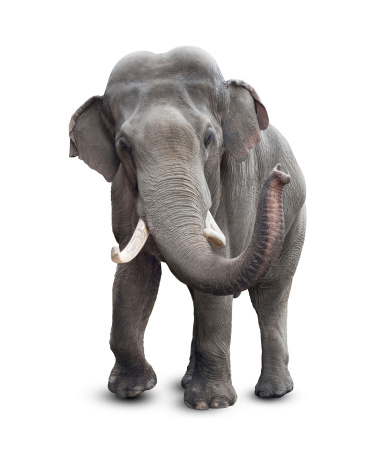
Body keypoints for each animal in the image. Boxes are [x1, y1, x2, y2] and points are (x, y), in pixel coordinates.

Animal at [69, 46, 306, 410]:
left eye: (209, 138)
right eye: (123, 146)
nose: (279, 175)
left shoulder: (234, 190)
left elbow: (215, 274)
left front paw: (210, 405)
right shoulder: (122, 194)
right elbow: (134, 278)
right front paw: (131, 391)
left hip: (296, 217)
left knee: (271, 295)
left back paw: (274, 392)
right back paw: (188, 381)